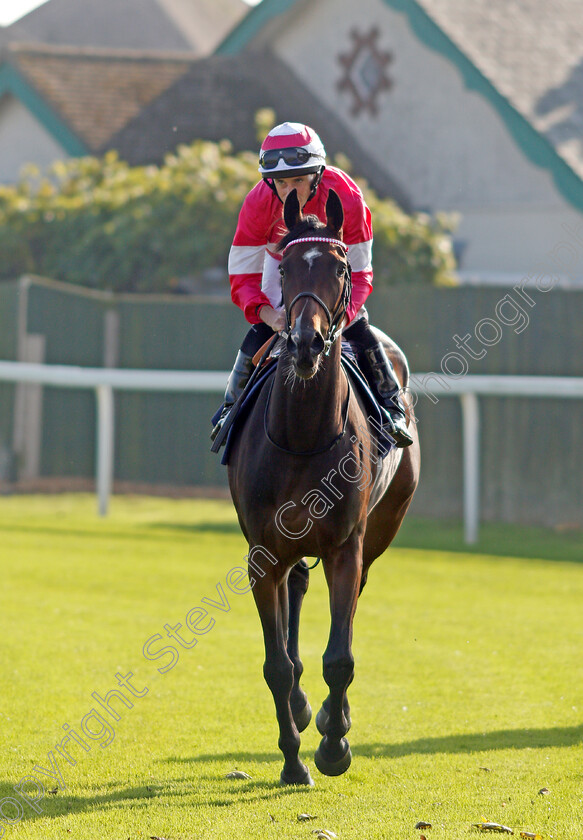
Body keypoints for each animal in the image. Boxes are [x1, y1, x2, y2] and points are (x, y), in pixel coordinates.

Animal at [227, 189, 420, 788]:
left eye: (338, 266)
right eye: (287, 267)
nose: (308, 341)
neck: (302, 437)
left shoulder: (344, 546)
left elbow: (341, 655)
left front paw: (334, 746)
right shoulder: (262, 554)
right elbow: (276, 665)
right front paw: (292, 761)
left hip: (379, 531)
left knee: (349, 608)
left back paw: (336, 718)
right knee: (295, 599)